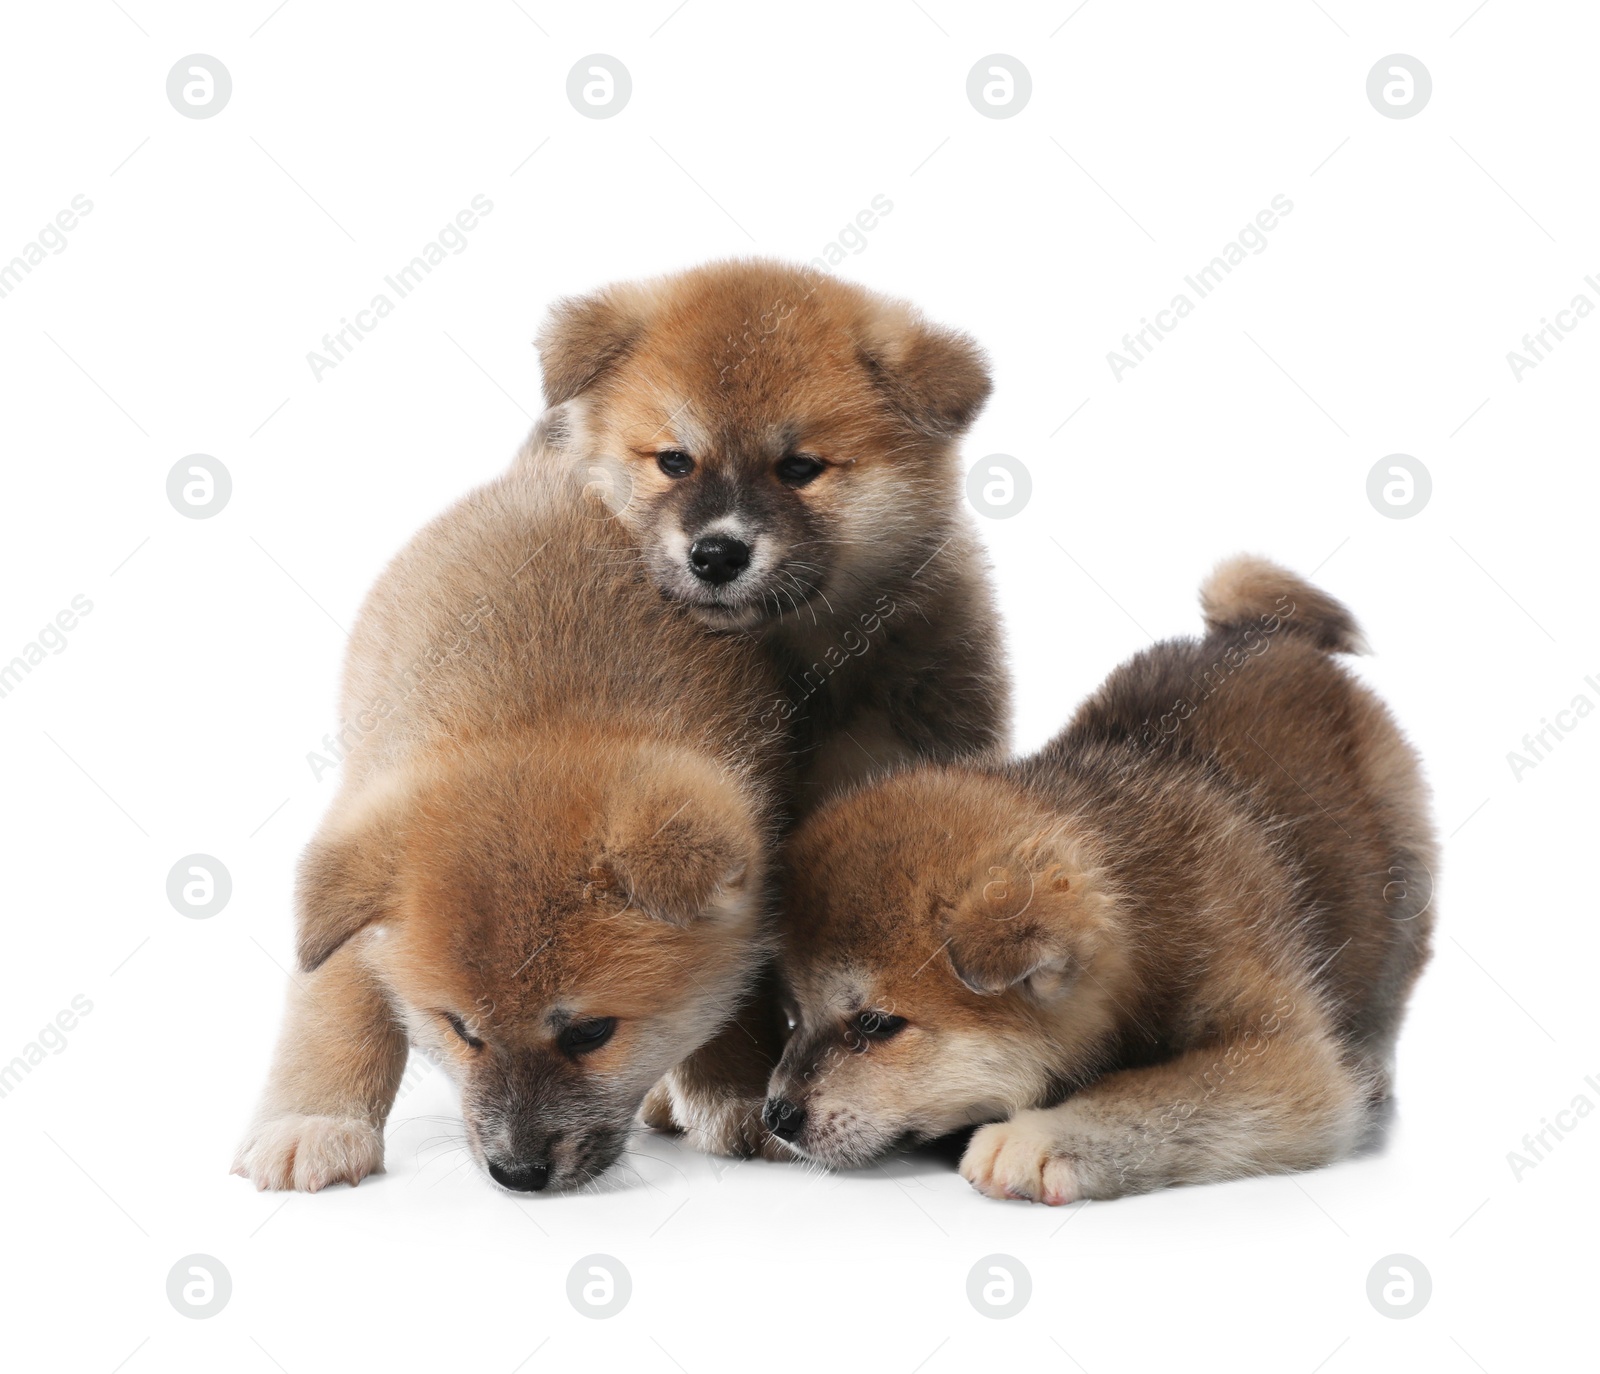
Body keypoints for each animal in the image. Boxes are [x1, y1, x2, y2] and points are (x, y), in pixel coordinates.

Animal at [233, 425, 793, 1196]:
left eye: (590, 1033)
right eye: (461, 1030)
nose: (517, 1174)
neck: (538, 713)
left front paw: (732, 1086)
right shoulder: (363, 845)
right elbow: (336, 1003)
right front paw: (312, 1120)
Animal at [761, 559, 1440, 1202]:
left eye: (876, 1025)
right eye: (791, 1015)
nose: (776, 1116)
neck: (1146, 907)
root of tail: (1259, 632)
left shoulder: (1285, 1058)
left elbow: (1150, 1093)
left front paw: (1035, 1137)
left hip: (1404, 881)